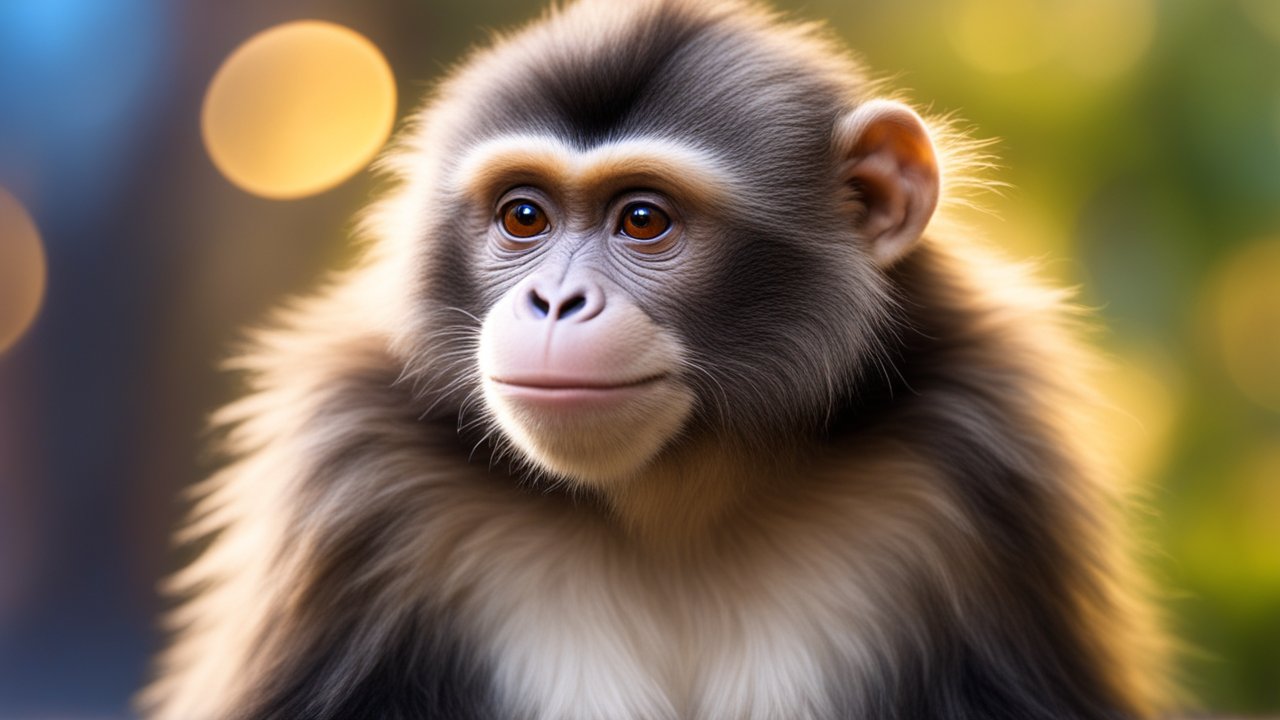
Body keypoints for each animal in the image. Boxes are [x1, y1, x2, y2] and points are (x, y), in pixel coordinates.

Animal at [141, 0, 1171, 718]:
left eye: (642, 219)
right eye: (525, 215)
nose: (555, 303)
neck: (672, 503)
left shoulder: (986, 456)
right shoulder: (354, 474)